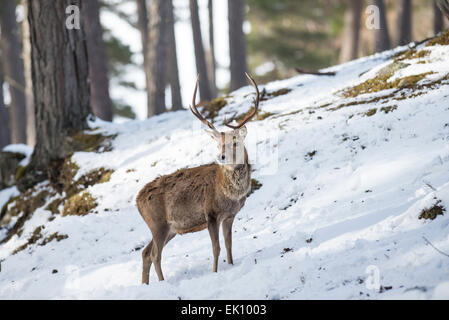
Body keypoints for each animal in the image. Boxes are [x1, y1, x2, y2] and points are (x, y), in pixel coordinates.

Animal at [135, 74, 260, 284]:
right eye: (218, 144)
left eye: (235, 142)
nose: (221, 157)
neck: (229, 194)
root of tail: (137, 200)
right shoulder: (211, 214)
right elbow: (216, 248)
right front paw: (215, 272)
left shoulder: (230, 215)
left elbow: (229, 244)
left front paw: (231, 264)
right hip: (157, 223)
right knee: (154, 254)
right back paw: (162, 282)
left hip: (170, 228)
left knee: (145, 252)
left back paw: (146, 284)